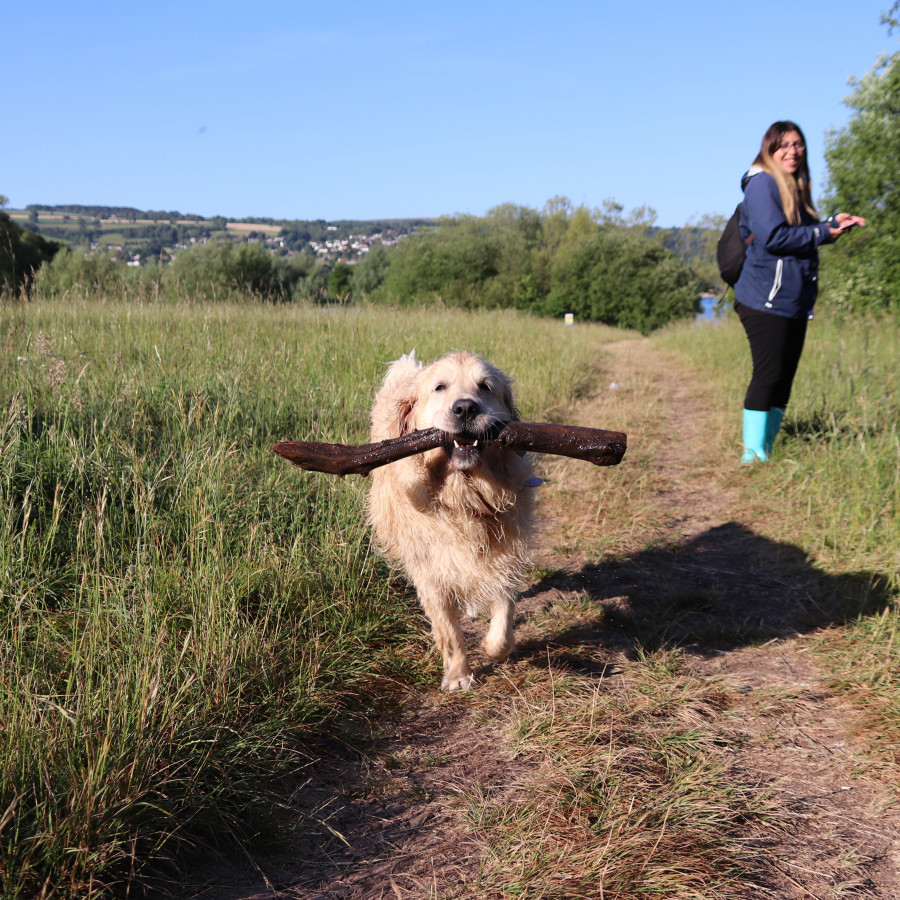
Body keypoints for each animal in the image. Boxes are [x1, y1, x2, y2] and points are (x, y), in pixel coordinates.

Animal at [366, 350, 536, 688]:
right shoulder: (430, 569)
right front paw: (459, 675)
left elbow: (504, 611)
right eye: (440, 387)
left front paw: (495, 647)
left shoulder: (507, 552)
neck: (463, 495)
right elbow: (449, 630)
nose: (466, 408)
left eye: (485, 387)